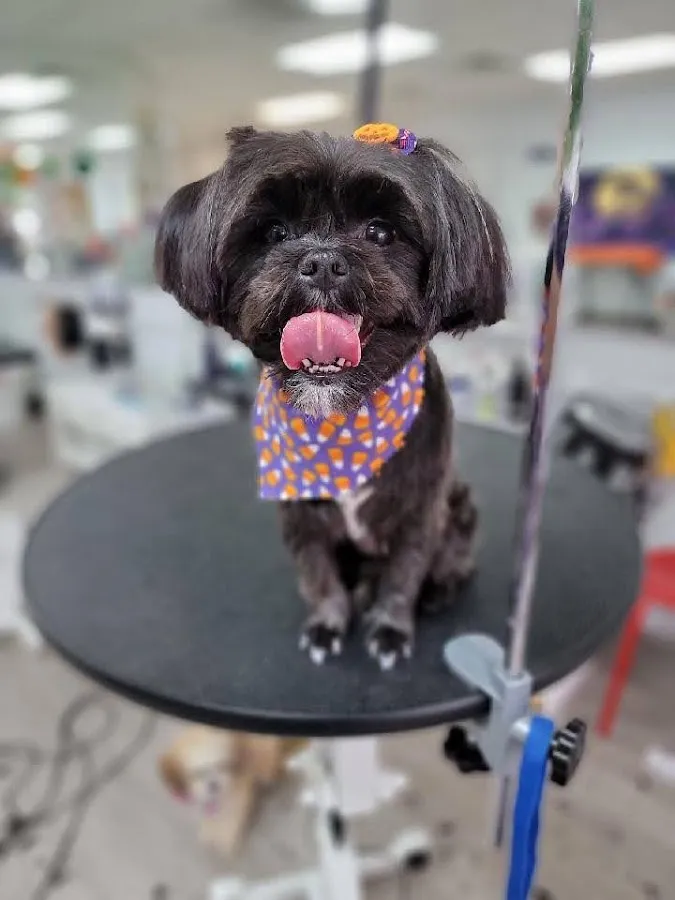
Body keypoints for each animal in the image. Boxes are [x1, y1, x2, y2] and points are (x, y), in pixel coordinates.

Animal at [155, 123, 510, 669]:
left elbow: (404, 574)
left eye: (380, 232)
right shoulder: (300, 512)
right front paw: (327, 623)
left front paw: (391, 629)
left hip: (462, 509)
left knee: (452, 561)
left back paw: (438, 590)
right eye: (274, 233)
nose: (322, 261)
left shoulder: (421, 512)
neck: (342, 418)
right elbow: (318, 574)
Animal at [159, 726, 304, 856]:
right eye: (198, 773)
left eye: (223, 765)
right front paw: (208, 835)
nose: (213, 784)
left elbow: (230, 826)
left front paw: (225, 844)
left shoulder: (236, 803)